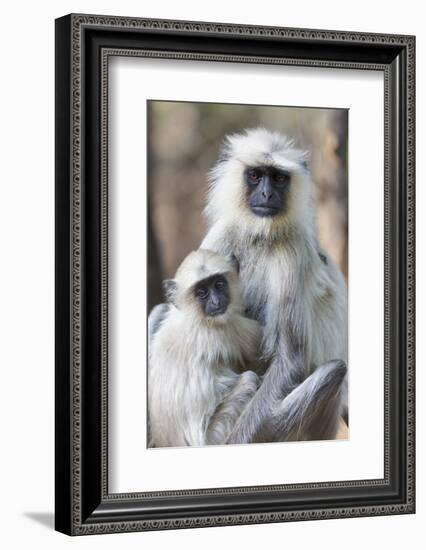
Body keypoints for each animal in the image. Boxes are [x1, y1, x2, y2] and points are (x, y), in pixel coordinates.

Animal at [149, 250, 262, 448]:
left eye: (219, 285)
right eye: (202, 292)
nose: (216, 302)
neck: (193, 317)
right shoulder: (230, 330)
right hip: (216, 435)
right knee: (249, 378)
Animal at [201, 128, 348, 444]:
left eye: (279, 178)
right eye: (255, 175)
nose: (267, 194)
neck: (260, 236)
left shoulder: (293, 250)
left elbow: (291, 362)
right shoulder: (222, 235)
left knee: (334, 370)